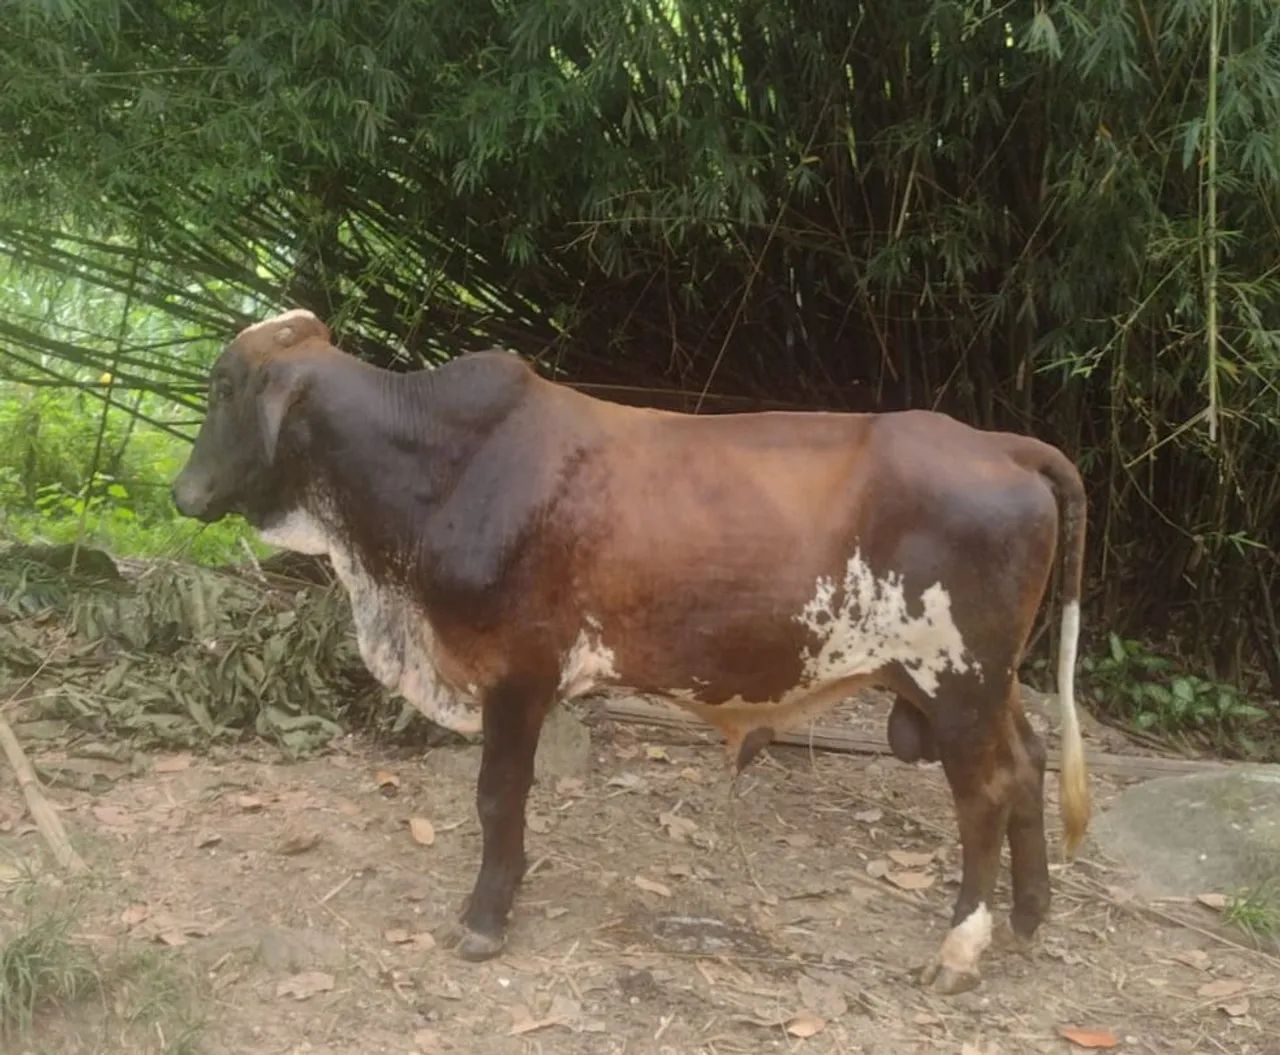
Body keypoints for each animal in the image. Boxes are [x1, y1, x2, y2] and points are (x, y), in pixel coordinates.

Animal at [172, 309, 1089, 995]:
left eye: (224, 386)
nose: (182, 491)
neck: (443, 467)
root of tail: (1002, 443)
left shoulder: (519, 671)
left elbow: (498, 796)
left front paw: (486, 917)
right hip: (988, 682)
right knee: (1030, 758)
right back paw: (1031, 914)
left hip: (957, 679)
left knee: (985, 793)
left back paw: (960, 949)